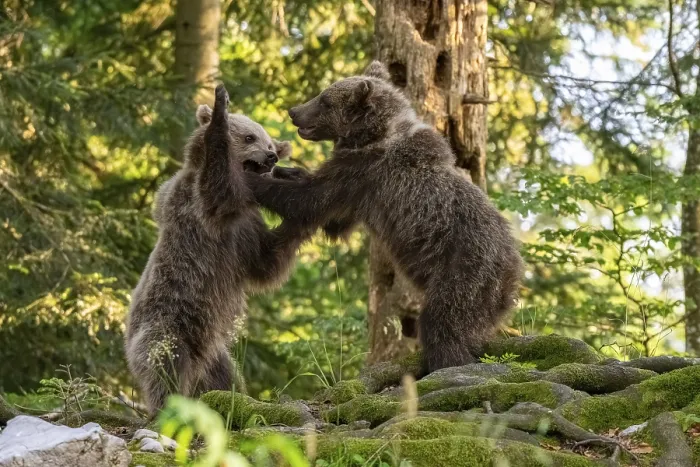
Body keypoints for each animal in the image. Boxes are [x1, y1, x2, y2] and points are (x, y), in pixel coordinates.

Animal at [125, 84, 311, 414]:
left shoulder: (244, 235)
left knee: (226, 375)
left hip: (214, 354)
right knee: (166, 364)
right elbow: (216, 182)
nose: (271, 156)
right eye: (249, 137)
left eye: (268, 141)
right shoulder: (200, 209)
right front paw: (219, 112)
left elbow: (267, 263)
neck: (239, 208)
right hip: (166, 324)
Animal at [244, 62, 523, 375]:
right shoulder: (357, 194)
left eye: (325, 100)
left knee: (443, 322)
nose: (293, 111)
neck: (371, 136)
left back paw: (443, 364)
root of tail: (514, 271)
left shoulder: (363, 173)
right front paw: (283, 170)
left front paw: (253, 179)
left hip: (464, 269)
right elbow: (332, 218)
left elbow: (309, 199)